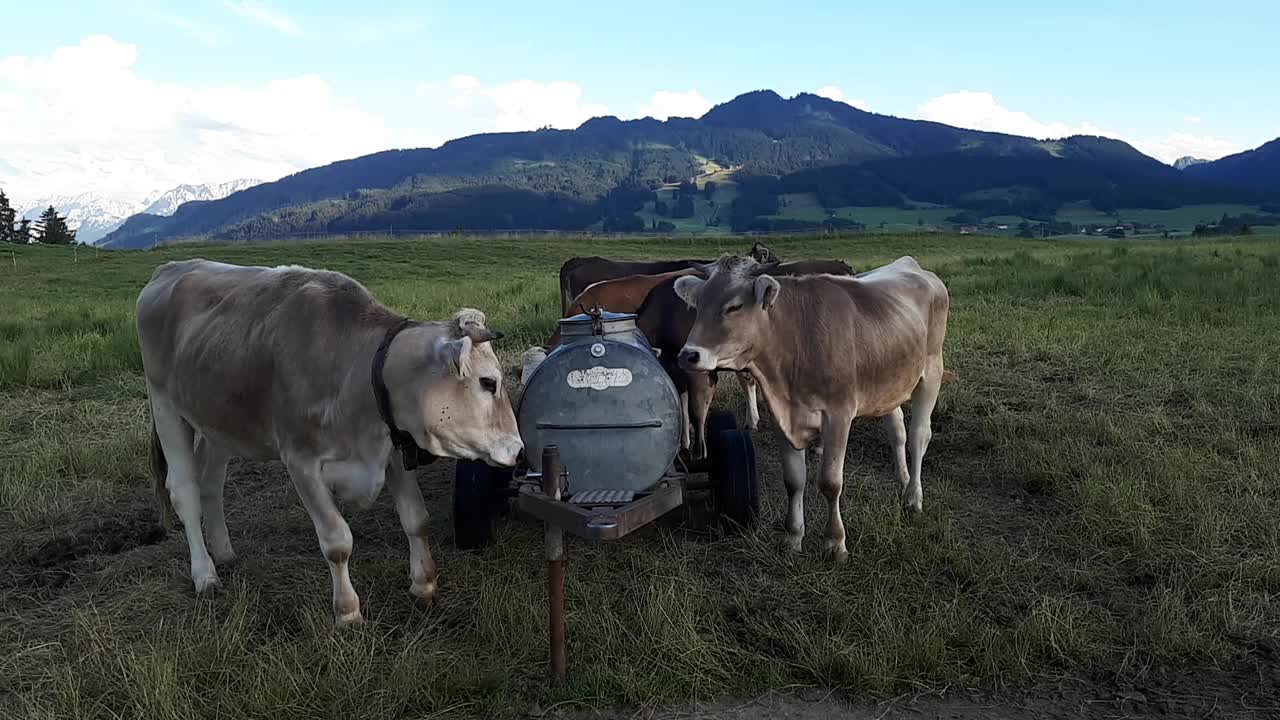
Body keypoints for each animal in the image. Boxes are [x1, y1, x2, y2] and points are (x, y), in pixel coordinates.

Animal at [137, 257, 522, 622]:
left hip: (218, 422)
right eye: (488, 382)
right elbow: (337, 541)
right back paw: (205, 574)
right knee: (184, 490)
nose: (518, 449)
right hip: (165, 404)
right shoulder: (301, 460)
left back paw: (225, 553)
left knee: (210, 485)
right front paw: (348, 611)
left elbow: (416, 519)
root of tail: (171, 269)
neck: (355, 368)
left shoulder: (392, 450)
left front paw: (423, 585)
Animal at [675, 253, 947, 561]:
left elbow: (830, 482)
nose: (689, 355)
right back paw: (903, 481)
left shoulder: (839, 415)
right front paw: (793, 537)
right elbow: (794, 480)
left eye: (734, 306)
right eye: (699, 304)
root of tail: (912, 265)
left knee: (918, 436)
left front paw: (835, 542)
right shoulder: (782, 416)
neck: (796, 339)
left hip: (931, 371)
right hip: (889, 380)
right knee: (897, 431)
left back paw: (913, 497)